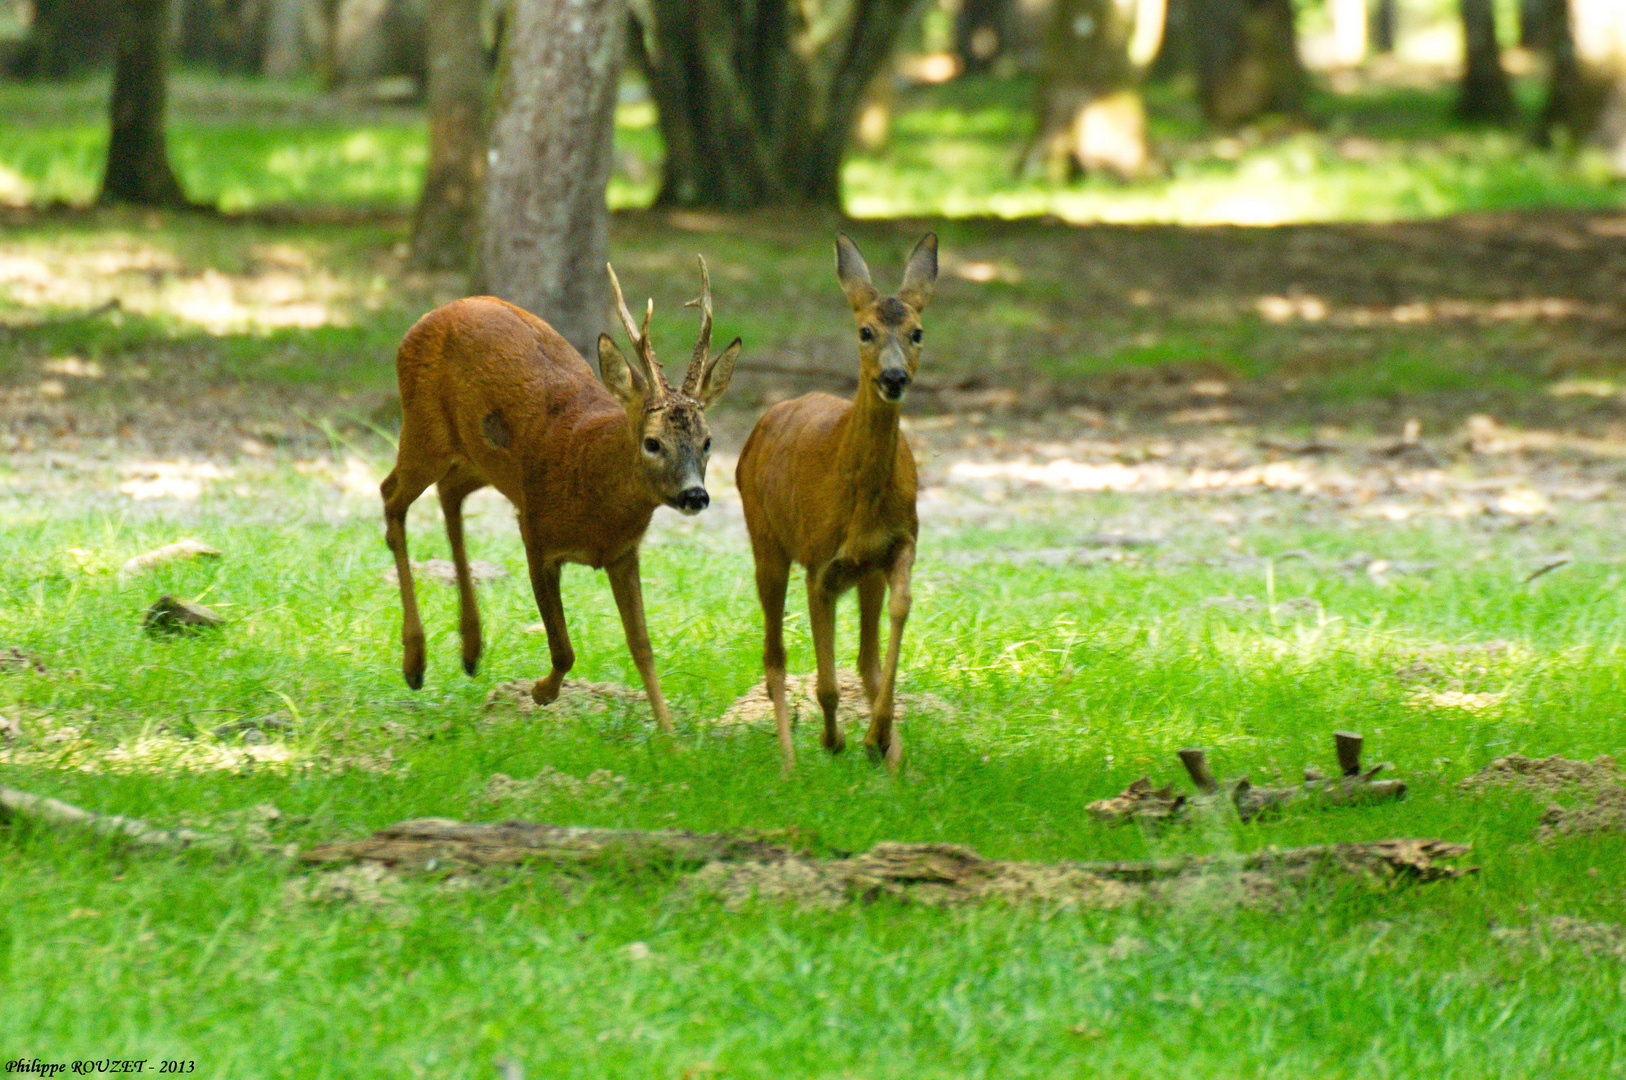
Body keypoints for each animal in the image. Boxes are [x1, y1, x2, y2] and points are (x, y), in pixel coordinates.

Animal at [380, 256, 738, 728]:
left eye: (708, 441)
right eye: (652, 442)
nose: (695, 495)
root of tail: (423, 320)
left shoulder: (623, 553)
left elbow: (642, 647)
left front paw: (668, 733)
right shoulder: (535, 532)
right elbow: (564, 649)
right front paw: (541, 691)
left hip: (478, 459)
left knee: (448, 493)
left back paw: (471, 648)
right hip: (425, 431)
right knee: (391, 497)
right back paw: (415, 661)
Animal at [738, 232, 943, 767]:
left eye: (917, 332)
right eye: (865, 331)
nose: (894, 378)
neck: (861, 503)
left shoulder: (899, 543)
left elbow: (899, 612)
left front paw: (877, 736)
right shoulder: (819, 561)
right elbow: (826, 684)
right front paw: (834, 739)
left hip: (862, 574)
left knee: (864, 658)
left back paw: (888, 752)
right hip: (765, 540)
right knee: (774, 656)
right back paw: (790, 764)